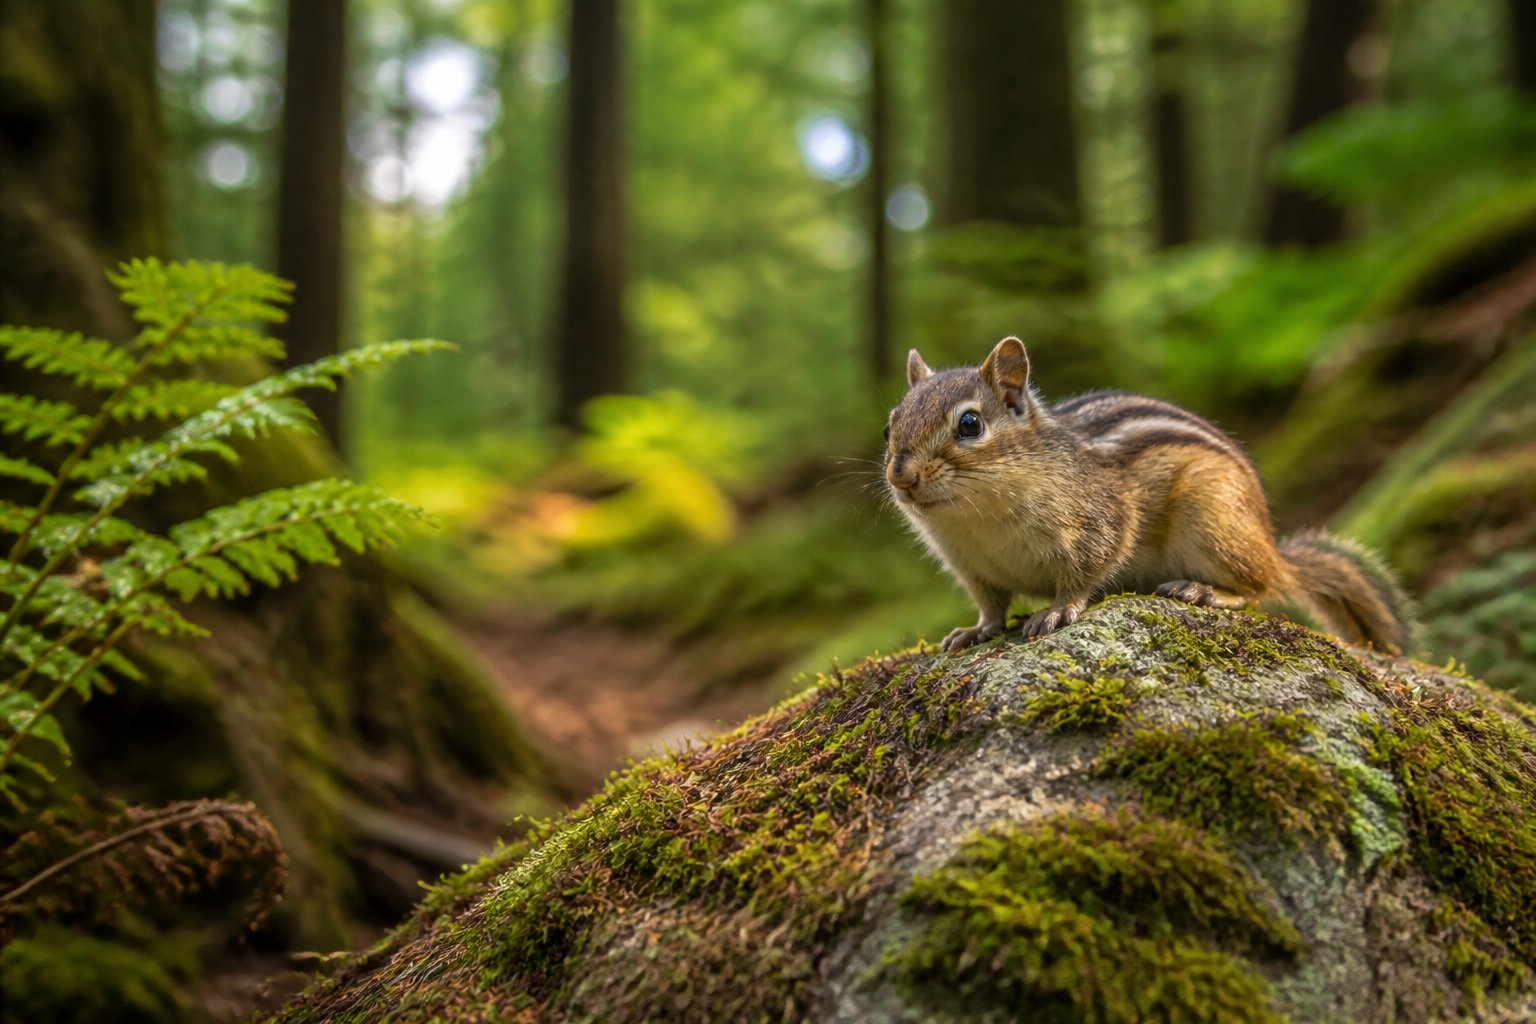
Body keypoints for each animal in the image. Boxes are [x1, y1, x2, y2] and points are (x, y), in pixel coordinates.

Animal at [884, 336, 1417, 654]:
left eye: (970, 425)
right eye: (891, 423)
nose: (900, 478)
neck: (975, 516)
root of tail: (1271, 547)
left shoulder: (1101, 518)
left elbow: (1085, 572)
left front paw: (1056, 609)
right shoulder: (972, 566)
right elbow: (991, 604)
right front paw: (977, 629)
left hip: (1214, 520)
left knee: (1261, 587)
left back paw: (1206, 590)